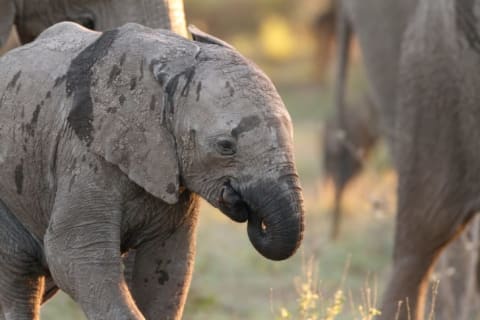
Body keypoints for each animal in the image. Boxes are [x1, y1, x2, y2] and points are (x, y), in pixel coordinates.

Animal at [0, 23, 304, 320]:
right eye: (226, 146)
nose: (242, 203)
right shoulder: (84, 155)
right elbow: (75, 254)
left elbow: (167, 263)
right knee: (19, 275)